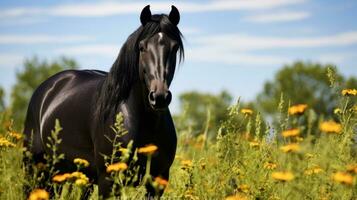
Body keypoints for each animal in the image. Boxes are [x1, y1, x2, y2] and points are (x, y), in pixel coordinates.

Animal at [24, 5, 184, 198]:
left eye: (174, 47)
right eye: (142, 47)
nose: (159, 97)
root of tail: (46, 89)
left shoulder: (157, 182)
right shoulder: (107, 181)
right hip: (35, 168)